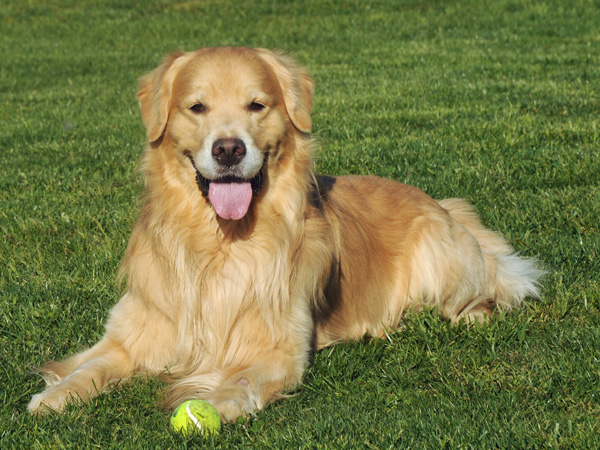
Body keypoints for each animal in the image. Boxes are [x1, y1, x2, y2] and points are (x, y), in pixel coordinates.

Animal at [28, 47, 540, 420]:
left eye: (257, 105)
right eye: (197, 107)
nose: (229, 149)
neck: (220, 243)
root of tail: (442, 205)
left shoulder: (279, 349)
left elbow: (241, 378)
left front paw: (215, 405)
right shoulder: (135, 331)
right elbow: (92, 365)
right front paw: (54, 395)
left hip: (442, 258)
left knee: (492, 294)